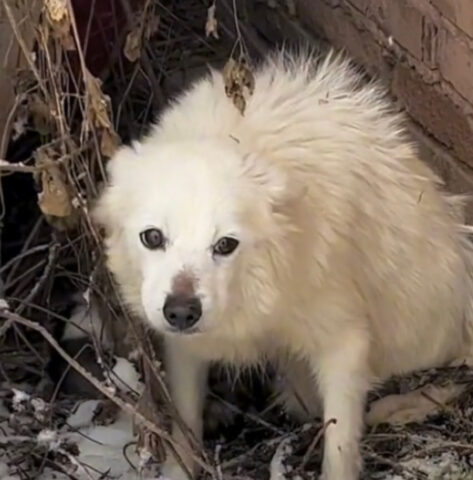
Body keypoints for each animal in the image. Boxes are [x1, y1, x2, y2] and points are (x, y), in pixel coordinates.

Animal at [93, 49, 472, 480]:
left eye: (225, 244)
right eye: (153, 237)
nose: (182, 312)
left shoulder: (344, 342)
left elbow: (339, 444)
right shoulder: (185, 347)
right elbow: (185, 423)